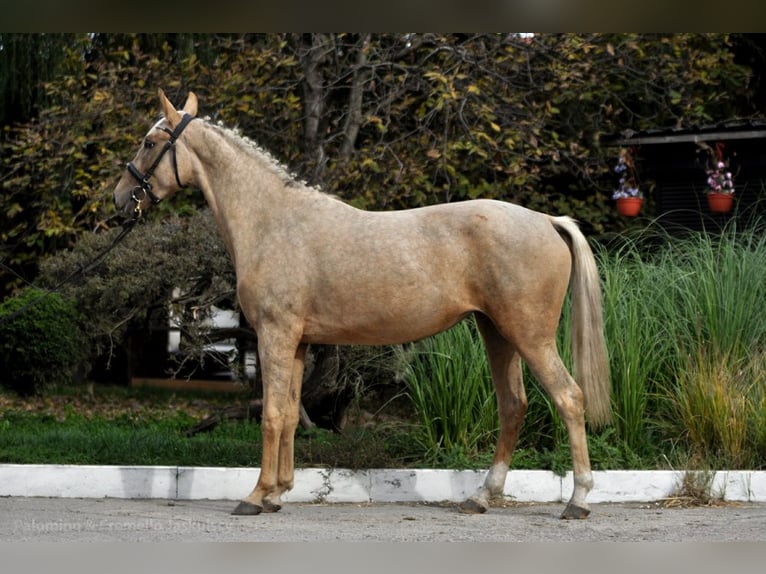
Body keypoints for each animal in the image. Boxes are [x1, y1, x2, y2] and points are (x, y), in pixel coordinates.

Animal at [112, 90, 612, 520]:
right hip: (498, 334)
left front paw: (255, 496)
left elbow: (271, 415)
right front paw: (278, 493)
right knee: (513, 406)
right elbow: (290, 414)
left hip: (529, 336)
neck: (273, 221)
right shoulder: (296, 342)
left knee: (569, 398)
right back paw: (481, 497)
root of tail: (547, 220)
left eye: (150, 142)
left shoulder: (275, 335)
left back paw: (578, 501)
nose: (119, 199)